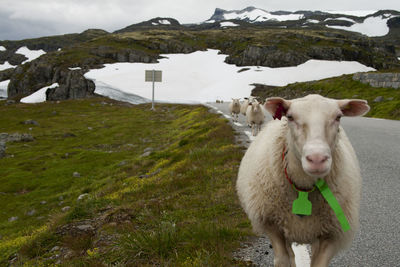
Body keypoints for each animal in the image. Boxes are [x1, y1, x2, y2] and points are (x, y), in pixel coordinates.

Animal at [236, 94, 370, 267]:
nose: (317, 159)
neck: (304, 188)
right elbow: (282, 260)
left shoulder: (331, 234)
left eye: (338, 117)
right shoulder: (273, 226)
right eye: (290, 117)